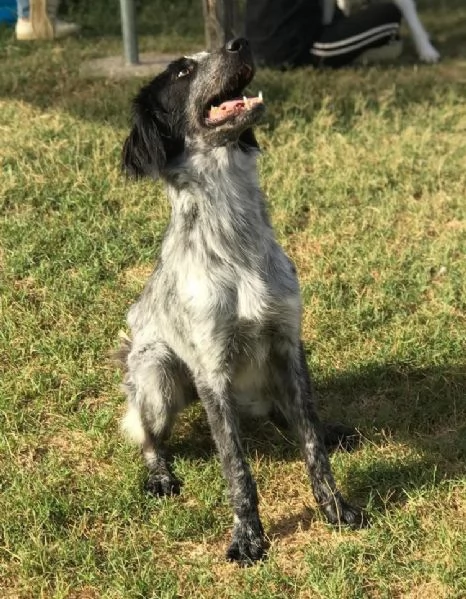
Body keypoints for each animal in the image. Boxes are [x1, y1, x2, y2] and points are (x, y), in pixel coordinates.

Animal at [117, 38, 368, 568]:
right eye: (181, 71)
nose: (238, 43)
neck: (234, 237)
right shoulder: (212, 370)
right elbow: (237, 468)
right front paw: (249, 537)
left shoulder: (288, 342)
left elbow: (311, 443)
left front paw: (337, 509)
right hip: (155, 371)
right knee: (148, 437)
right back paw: (160, 474)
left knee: (291, 415)